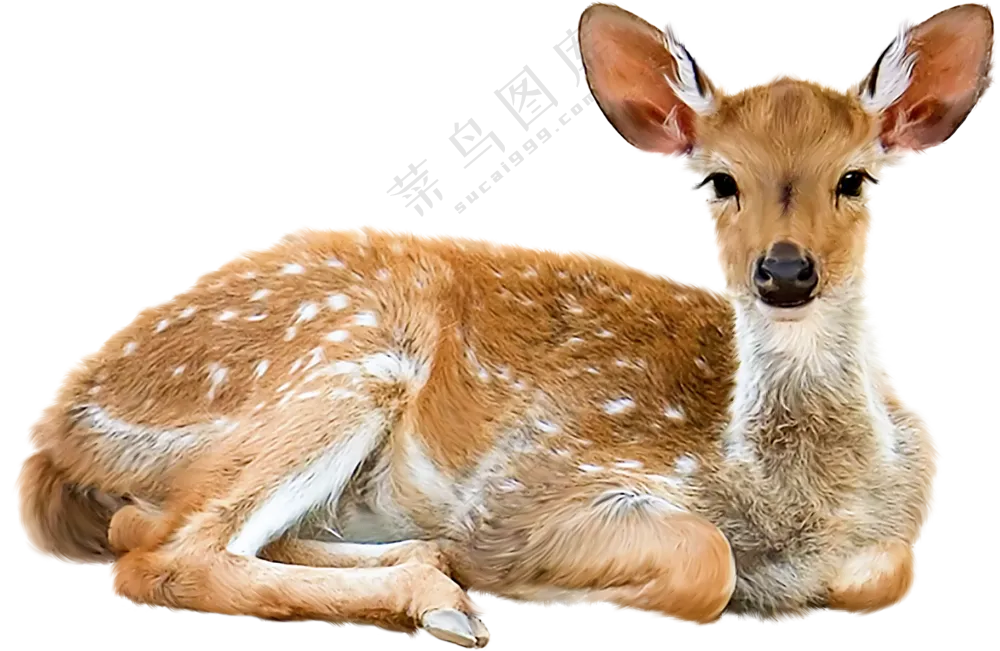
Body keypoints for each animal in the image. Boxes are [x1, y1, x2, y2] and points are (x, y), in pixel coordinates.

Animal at [14, 1, 996, 646]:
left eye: (856, 177)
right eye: (720, 179)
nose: (785, 270)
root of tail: (56, 425)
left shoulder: (904, 522)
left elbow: (887, 570)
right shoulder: (533, 478)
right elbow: (704, 558)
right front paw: (571, 592)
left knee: (154, 534)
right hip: (337, 362)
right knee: (161, 554)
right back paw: (446, 601)